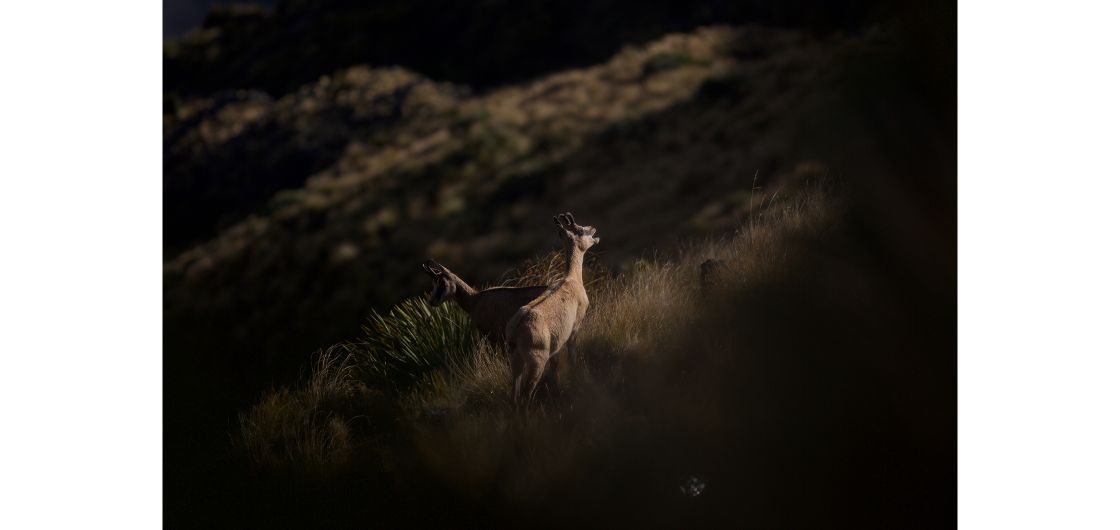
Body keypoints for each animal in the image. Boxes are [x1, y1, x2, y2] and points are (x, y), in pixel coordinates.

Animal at [506, 210, 600, 405]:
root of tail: (515, 328)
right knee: (526, 393)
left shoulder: (556, 346)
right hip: (537, 361)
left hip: (517, 360)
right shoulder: (575, 327)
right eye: (581, 229)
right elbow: (572, 353)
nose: (593, 228)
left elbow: (555, 366)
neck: (571, 279)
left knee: (515, 393)